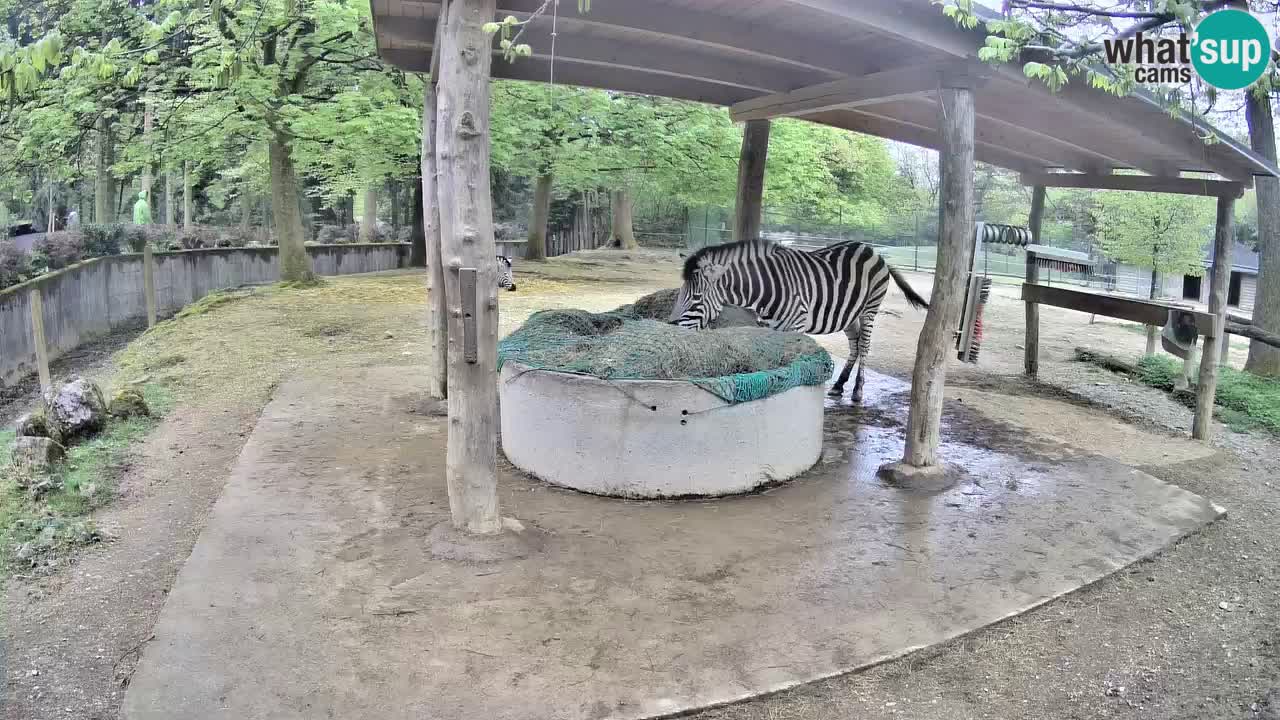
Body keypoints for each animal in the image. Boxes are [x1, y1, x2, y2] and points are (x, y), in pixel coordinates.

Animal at [669, 239, 928, 402]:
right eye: (680, 294)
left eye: (696, 298)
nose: (672, 329)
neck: (766, 288)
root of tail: (873, 251)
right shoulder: (769, 326)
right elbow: (770, 357)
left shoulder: (796, 325)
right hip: (849, 315)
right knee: (854, 346)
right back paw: (838, 385)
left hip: (869, 310)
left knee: (864, 347)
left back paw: (857, 390)